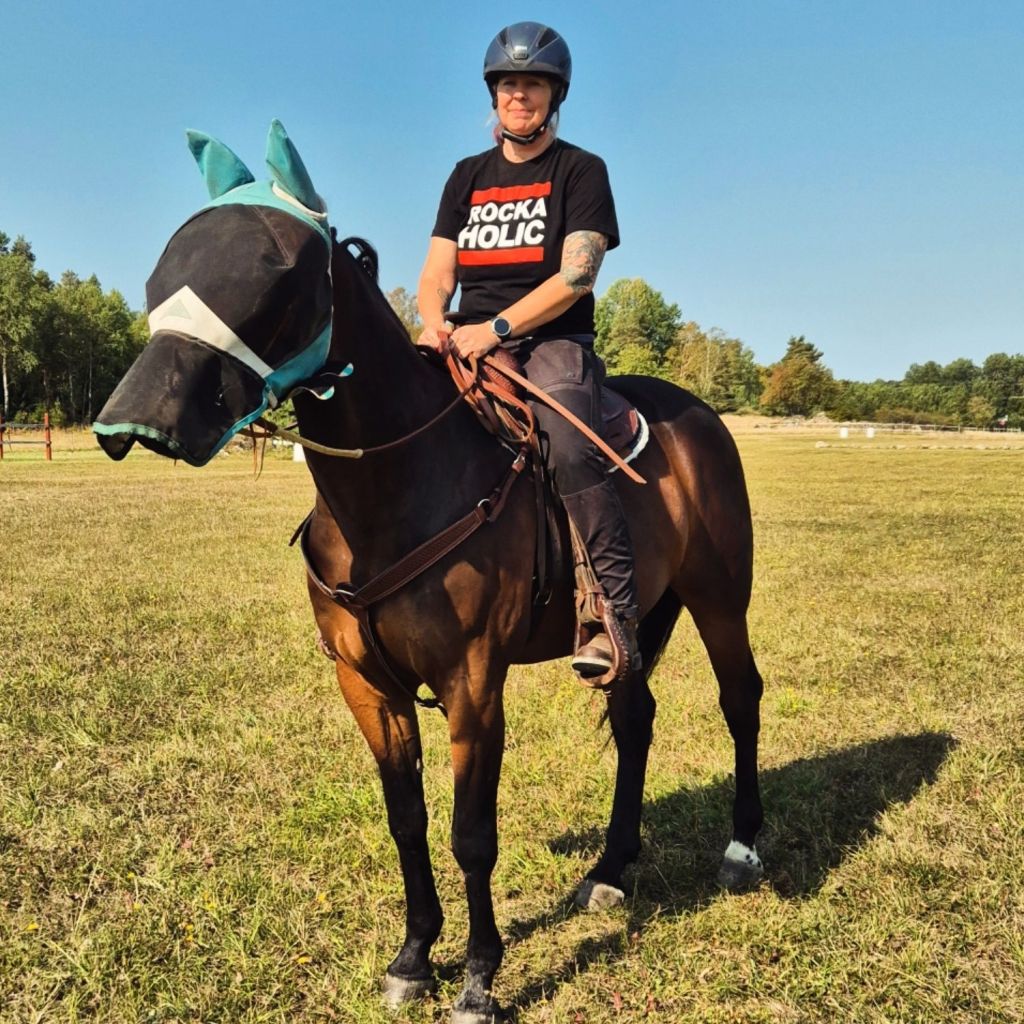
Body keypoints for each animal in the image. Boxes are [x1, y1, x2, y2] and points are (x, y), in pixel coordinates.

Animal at [95, 122, 765, 1024]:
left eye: (278, 272)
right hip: (633, 627)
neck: (395, 492)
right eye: (167, 265)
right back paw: (610, 870)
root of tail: (698, 417)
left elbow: (470, 833)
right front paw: (415, 956)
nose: (133, 421)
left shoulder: (473, 683)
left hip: (720, 597)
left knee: (741, 700)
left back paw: (742, 849)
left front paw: (480, 976)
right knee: (635, 718)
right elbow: (406, 819)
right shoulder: (366, 683)